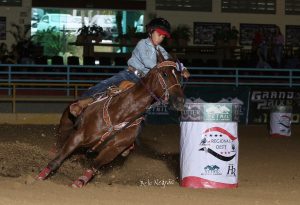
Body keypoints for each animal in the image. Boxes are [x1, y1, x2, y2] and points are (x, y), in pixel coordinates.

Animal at [36, 56, 184, 187]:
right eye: (165, 74)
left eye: (179, 76)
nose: (180, 101)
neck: (122, 112)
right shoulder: (77, 136)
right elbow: (57, 160)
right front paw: (39, 178)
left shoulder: (113, 150)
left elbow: (95, 165)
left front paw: (79, 182)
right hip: (65, 126)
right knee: (59, 143)